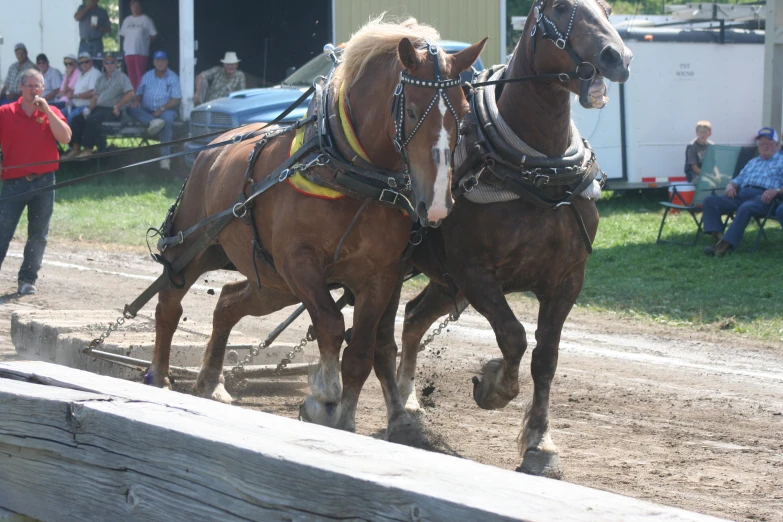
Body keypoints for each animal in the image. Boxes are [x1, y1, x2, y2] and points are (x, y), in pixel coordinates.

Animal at [145, 18, 484, 434]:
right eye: (415, 108)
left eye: (463, 114)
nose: (435, 204)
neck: (349, 170)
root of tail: (216, 147)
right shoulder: (299, 263)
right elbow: (330, 323)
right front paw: (323, 398)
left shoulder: (381, 274)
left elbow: (361, 350)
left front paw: (345, 416)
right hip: (198, 248)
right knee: (169, 303)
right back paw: (159, 377)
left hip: (271, 282)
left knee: (227, 303)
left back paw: (211, 381)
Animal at [370, 0, 632, 476]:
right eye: (560, 7)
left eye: (606, 8)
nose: (615, 57)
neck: (537, 172)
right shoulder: (475, 273)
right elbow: (513, 337)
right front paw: (493, 385)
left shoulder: (567, 279)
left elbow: (546, 358)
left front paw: (540, 444)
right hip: (398, 271)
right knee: (381, 336)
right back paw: (398, 415)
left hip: (444, 282)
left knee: (415, 317)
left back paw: (411, 403)